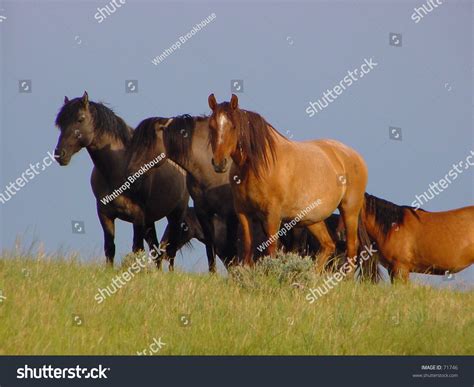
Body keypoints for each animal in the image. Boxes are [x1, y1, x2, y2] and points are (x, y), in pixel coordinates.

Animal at [53, 91, 189, 268]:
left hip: (175, 215)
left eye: (80, 119)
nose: (59, 154)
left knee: (170, 252)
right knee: (156, 251)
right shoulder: (105, 215)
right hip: (150, 221)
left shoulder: (138, 217)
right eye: (60, 123)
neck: (118, 169)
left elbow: (137, 249)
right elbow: (110, 248)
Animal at [209, 93, 372, 276]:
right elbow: (248, 246)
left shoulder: (272, 215)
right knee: (328, 245)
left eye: (234, 126)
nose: (219, 163)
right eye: (211, 126)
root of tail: (352, 155)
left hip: (349, 210)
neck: (255, 167)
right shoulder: (243, 212)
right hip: (312, 219)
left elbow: (272, 247)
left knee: (351, 246)